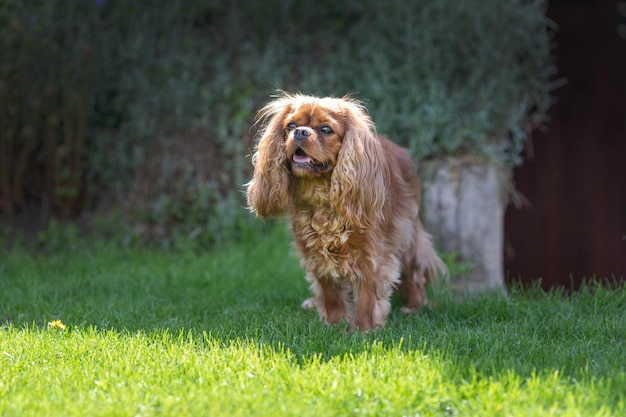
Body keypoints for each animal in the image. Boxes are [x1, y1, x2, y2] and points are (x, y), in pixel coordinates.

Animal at [244, 93, 444, 328]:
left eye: (326, 129)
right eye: (290, 125)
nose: (300, 132)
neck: (321, 195)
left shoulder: (372, 254)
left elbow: (367, 295)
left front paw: (362, 328)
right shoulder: (315, 253)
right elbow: (329, 291)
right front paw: (335, 323)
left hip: (408, 235)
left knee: (413, 271)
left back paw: (412, 306)